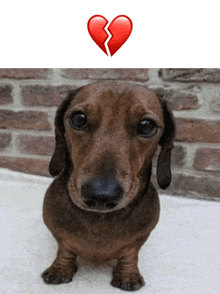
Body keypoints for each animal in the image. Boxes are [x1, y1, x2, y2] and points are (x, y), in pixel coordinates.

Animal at [41, 81, 175, 290]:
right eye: (79, 119)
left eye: (146, 126)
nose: (101, 196)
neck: (100, 220)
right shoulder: (60, 236)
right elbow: (65, 250)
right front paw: (60, 268)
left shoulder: (139, 240)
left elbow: (130, 254)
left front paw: (128, 275)